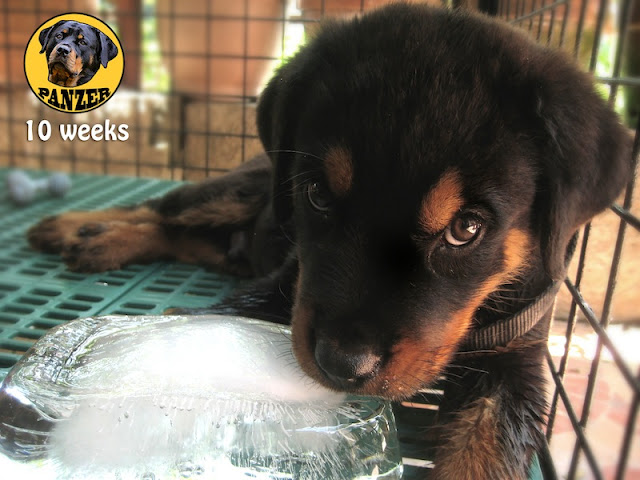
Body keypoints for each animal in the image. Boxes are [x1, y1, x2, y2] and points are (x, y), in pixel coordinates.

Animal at [27, 4, 632, 480]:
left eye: (466, 229)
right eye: (316, 193)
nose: (343, 365)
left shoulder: (515, 368)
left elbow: (488, 449)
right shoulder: (284, 287)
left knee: (184, 236)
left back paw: (95, 241)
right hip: (238, 191)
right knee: (163, 210)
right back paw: (75, 227)